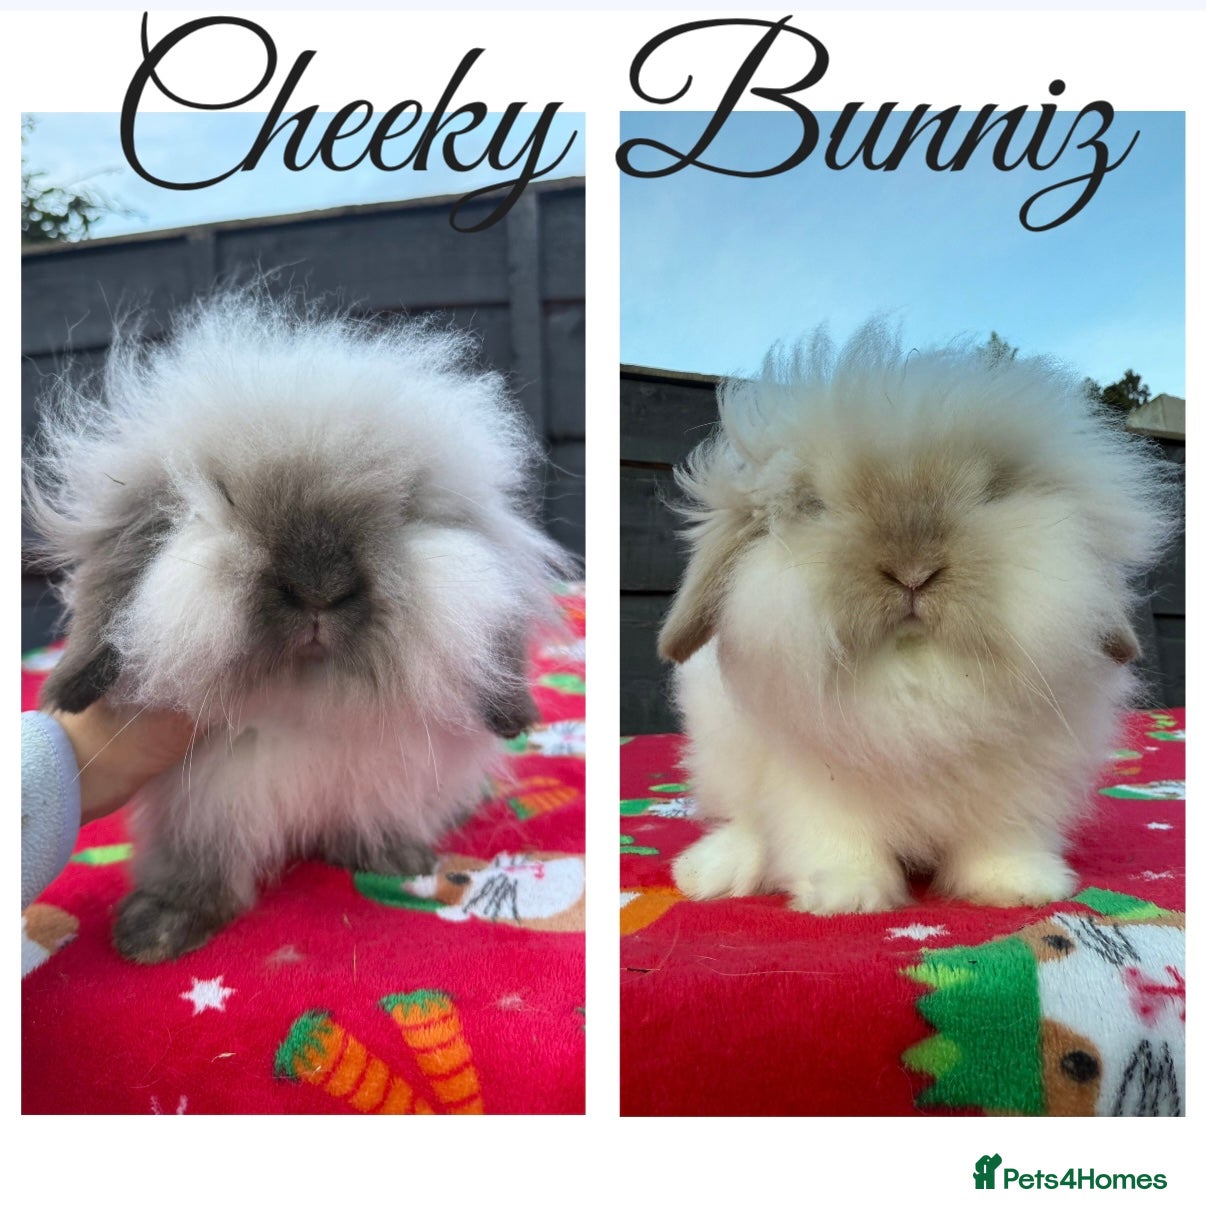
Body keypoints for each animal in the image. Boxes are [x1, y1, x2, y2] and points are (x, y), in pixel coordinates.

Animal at [25, 290, 571, 962]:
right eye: (224, 497)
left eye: (407, 506)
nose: (319, 588)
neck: (306, 698)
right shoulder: (201, 806)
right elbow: (195, 862)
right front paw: (155, 932)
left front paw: (395, 858)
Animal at [658, 319, 1177, 914]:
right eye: (814, 505)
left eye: (990, 493)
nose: (913, 573)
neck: (916, 675)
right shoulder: (816, 786)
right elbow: (836, 838)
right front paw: (846, 895)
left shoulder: (1016, 786)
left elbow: (1001, 835)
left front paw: (1018, 887)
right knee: (745, 824)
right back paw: (710, 872)